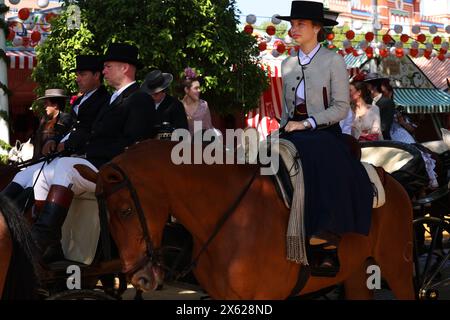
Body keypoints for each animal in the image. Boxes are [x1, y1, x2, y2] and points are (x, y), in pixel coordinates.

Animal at [76, 140, 414, 300]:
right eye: (106, 216)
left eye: (125, 210)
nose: (140, 279)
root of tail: (391, 179)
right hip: (358, 272)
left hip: (397, 268)